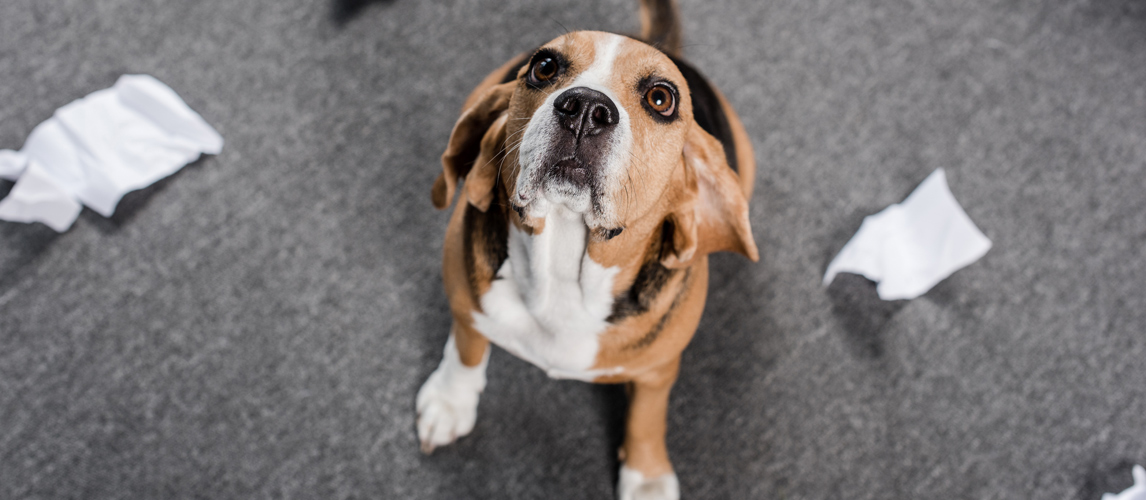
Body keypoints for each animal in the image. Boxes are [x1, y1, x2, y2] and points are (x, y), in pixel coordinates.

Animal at [417, 1, 756, 497]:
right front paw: (450, 400)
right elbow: (467, 347)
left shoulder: (659, 369)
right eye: (544, 66)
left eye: (661, 98)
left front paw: (647, 477)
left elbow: (647, 415)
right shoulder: (467, 305)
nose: (586, 108)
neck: (562, 272)